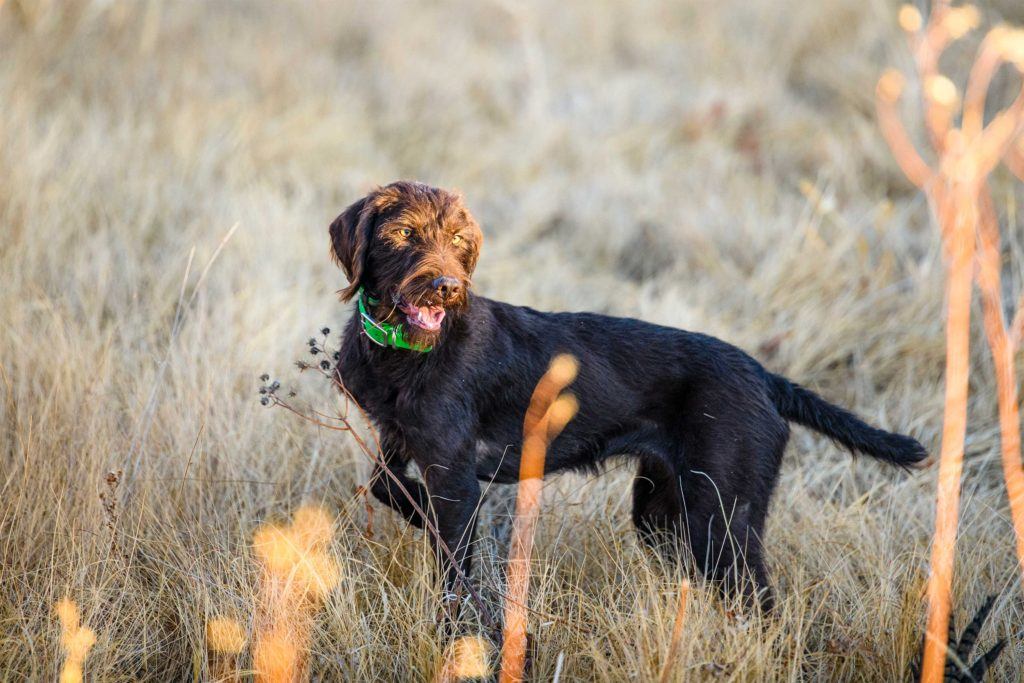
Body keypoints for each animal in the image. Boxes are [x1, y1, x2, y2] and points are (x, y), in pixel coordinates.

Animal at [329, 179, 929, 606]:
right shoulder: (402, 443)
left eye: (458, 240)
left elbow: (452, 570)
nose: (447, 288)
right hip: (662, 510)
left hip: (722, 519)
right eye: (404, 234)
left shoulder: (455, 478)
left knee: (757, 601)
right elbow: (385, 485)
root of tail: (762, 375)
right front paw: (415, 511)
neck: (403, 352)